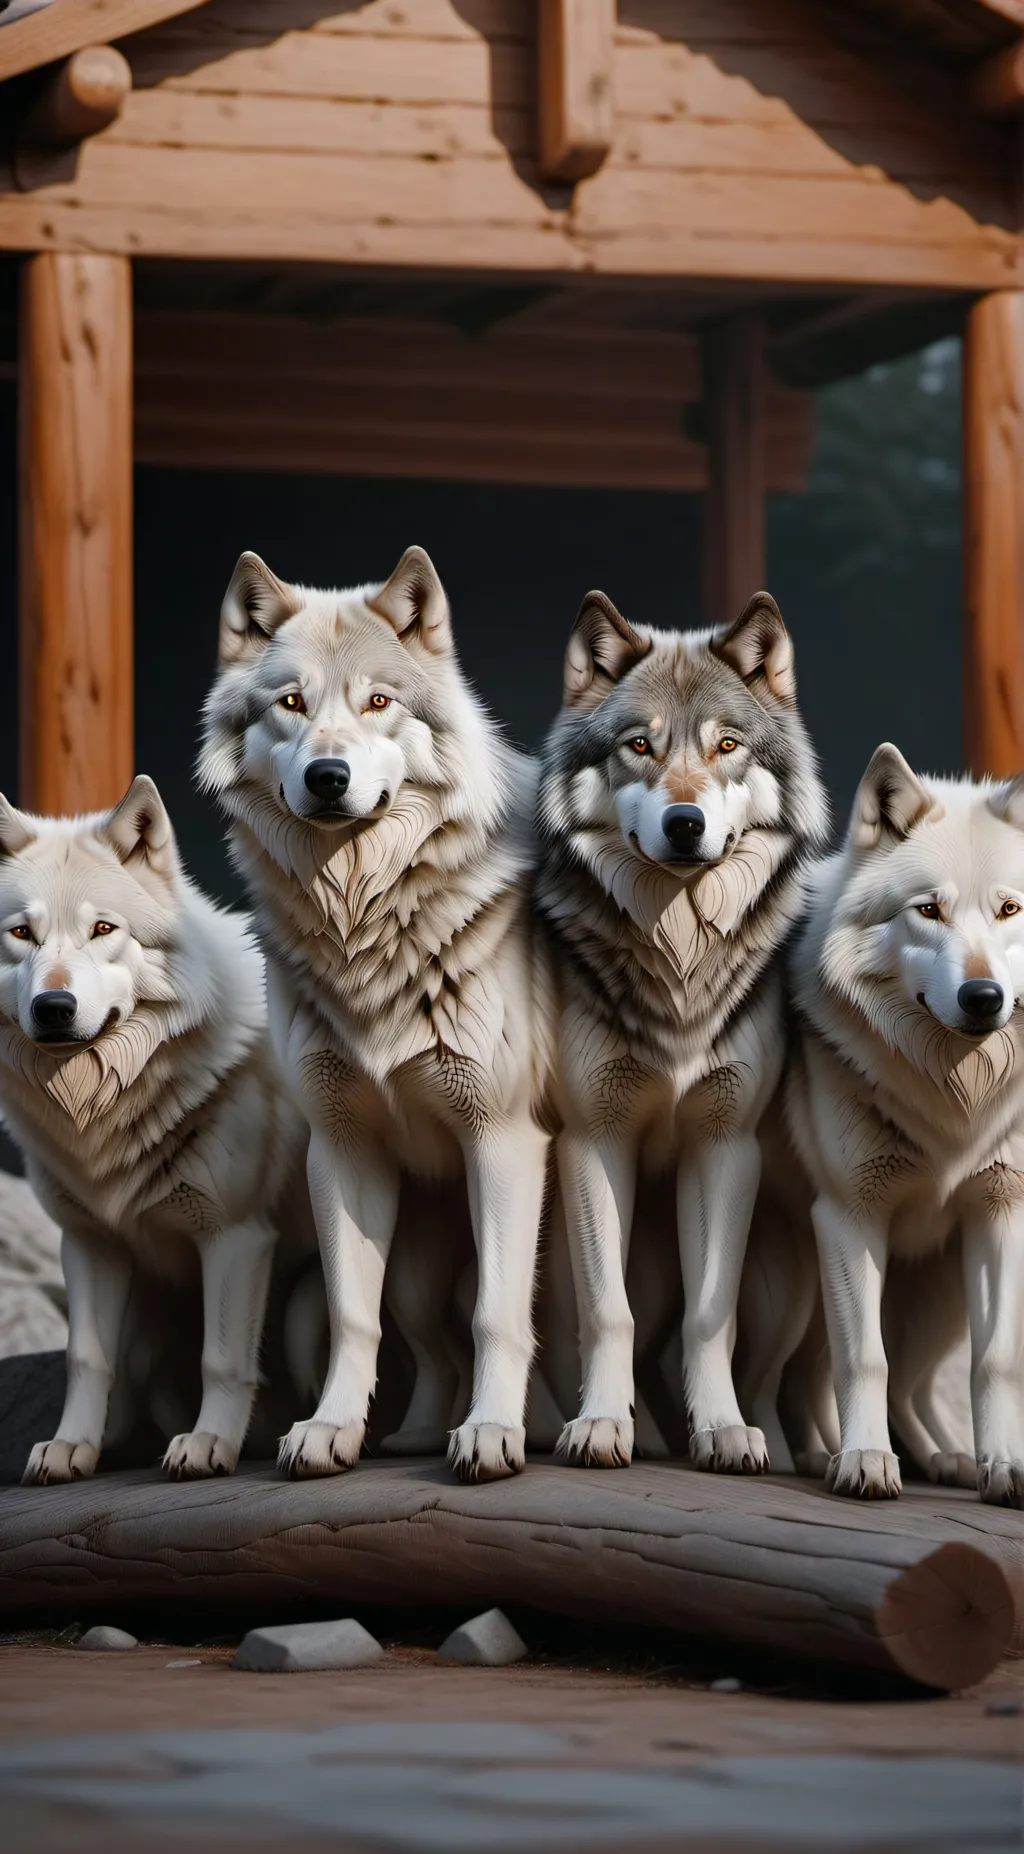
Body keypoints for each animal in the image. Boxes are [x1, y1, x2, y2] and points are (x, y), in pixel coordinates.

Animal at [0, 777, 311, 1484]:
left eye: (103, 929)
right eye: (21, 933)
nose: (53, 1008)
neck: (102, 1108)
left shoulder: (237, 1236)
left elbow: (221, 1358)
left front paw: (208, 1443)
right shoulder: (89, 1243)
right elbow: (85, 1357)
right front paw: (71, 1447)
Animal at [199, 545, 550, 1483]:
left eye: (378, 703)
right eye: (291, 703)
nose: (329, 777)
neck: (366, 928)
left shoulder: (504, 1139)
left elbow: (499, 1315)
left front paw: (493, 1434)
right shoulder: (343, 1148)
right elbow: (356, 1319)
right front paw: (329, 1430)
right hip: (419, 1263)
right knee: (429, 1342)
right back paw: (420, 1431)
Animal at [534, 590, 828, 1471]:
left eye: (726, 745)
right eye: (641, 746)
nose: (686, 822)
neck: (679, 958)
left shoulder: (724, 1147)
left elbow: (709, 1316)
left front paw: (722, 1431)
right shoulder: (595, 1138)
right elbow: (609, 1311)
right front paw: (602, 1424)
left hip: (785, 1296)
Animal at [781, 744, 1024, 1507]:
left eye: (1009, 909)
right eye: (928, 910)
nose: (983, 997)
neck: (951, 1099)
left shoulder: (1001, 1215)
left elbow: (996, 1362)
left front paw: (1005, 1468)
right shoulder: (848, 1216)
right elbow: (865, 1360)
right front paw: (863, 1461)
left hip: (935, 1304)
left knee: (910, 1387)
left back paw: (944, 1457)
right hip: (797, 1288)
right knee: (805, 1375)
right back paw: (812, 1452)